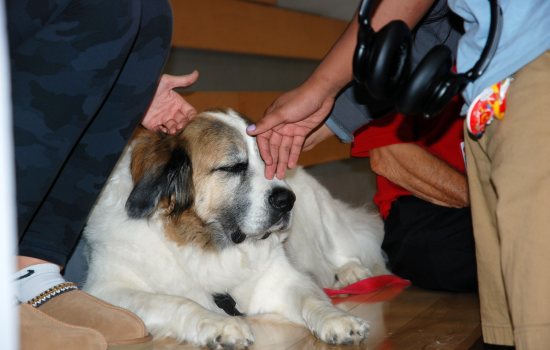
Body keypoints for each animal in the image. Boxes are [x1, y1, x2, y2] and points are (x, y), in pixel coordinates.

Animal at [84, 108, 390, 348]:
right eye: (233, 167)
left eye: (270, 161)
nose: (287, 200)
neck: (206, 243)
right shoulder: (107, 290)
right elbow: (177, 301)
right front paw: (219, 324)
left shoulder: (282, 278)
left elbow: (312, 298)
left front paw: (339, 318)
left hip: (317, 221)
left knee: (338, 249)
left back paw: (351, 271)